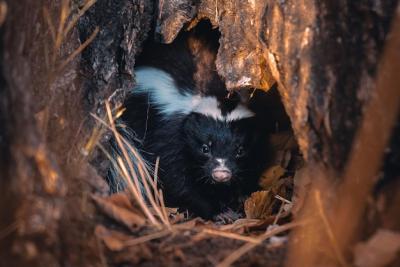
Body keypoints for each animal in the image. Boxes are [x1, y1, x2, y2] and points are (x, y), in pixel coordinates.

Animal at [109, 23, 276, 220]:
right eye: (205, 148)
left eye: (240, 150)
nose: (221, 173)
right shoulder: (168, 134)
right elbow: (176, 178)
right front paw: (217, 211)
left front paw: (240, 197)